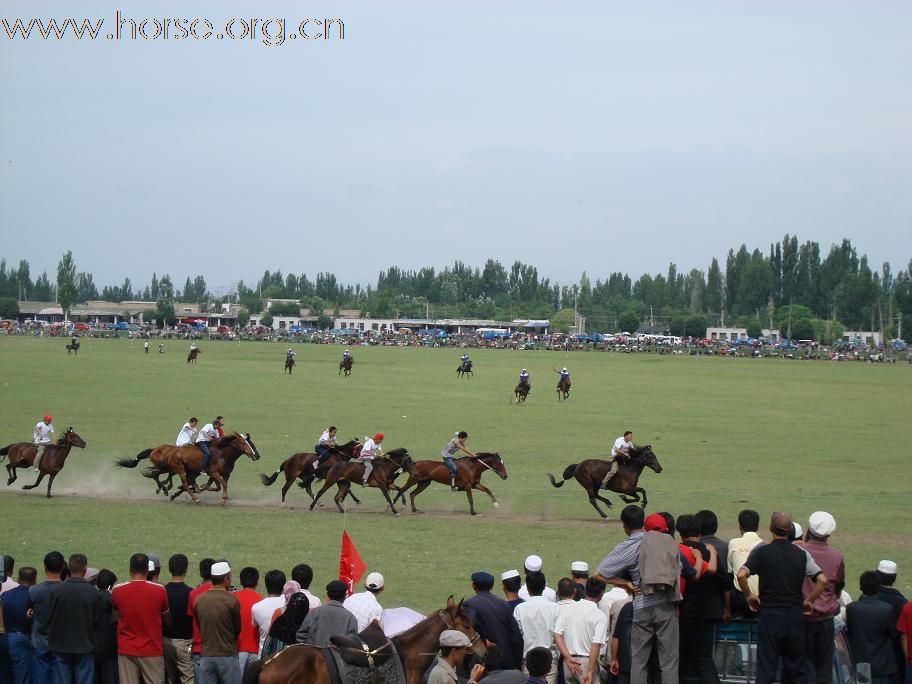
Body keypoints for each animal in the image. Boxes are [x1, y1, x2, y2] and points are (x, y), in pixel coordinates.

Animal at [114, 430, 258, 504]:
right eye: (243, 443)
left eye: (249, 443)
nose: (254, 454)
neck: (222, 454)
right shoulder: (213, 472)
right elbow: (222, 484)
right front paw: (223, 499)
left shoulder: (218, 474)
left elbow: (216, 486)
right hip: (179, 469)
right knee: (177, 480)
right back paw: (193, 497)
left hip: (169, 468)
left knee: (156, 474)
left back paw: (167, 490)